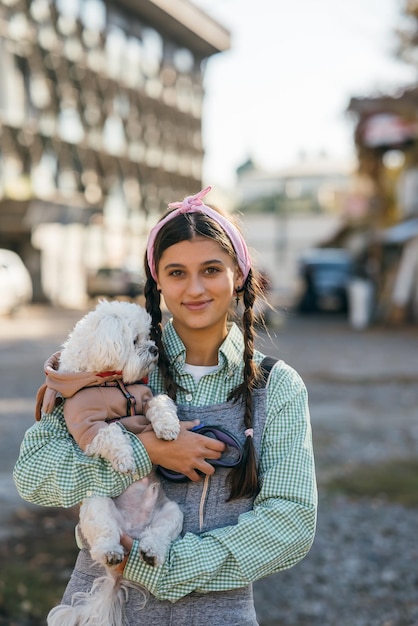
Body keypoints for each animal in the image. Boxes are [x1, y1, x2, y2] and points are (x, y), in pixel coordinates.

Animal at [42, 298, 185, 624]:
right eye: (135, 341)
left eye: (148, 337)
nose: (154, 350)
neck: (107, 382)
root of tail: (133, 531)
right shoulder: (86, 427)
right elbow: (111, 431)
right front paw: (125, 458)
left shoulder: (145, 396)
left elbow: (160, 403)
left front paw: (168, 427)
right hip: (97, 504)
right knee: (103, 539)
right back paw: (111, 552)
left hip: (172, 513)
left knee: (159, 536)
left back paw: (150, 551)